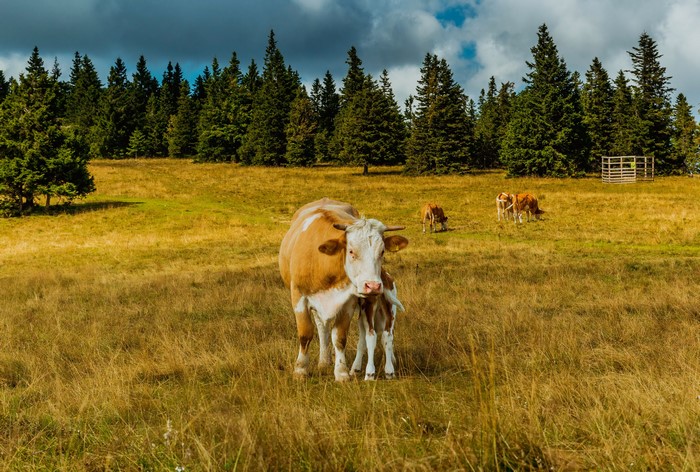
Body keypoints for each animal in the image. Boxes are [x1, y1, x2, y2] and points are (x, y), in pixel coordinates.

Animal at [278, 198, 408, 381]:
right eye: (351, 251)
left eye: (382, 251)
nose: (373, 286)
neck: (322, 263)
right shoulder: (299, 297)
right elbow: (305, 334)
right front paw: (300, 369)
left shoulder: (348, 303)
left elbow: (339, 337)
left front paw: (341, 372)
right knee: (321, 327)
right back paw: (324, 361)